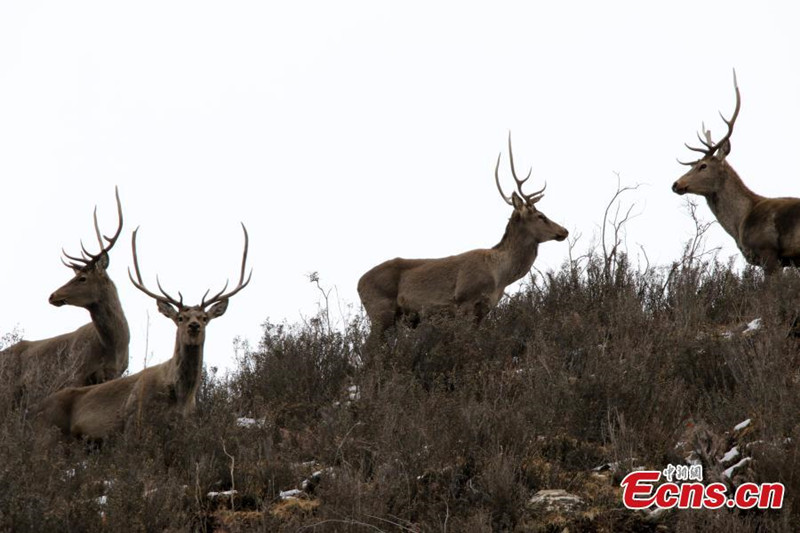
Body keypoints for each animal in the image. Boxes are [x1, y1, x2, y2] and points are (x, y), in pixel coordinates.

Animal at [0, 187, 128, 404]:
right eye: (75, 275)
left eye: (82, 278)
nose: (53, 295)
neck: (113, 347)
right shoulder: (74, 373)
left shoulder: (113, 374)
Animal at [33, 222, 250, 438]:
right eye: (180, 318)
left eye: (205, 318)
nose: (194, 326)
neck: (181, 397)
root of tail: (36, 408)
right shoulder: (134, 420)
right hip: (49, 430)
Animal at [356, 133, 568, 334]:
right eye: (541, 216)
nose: (564, 231)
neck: (500, 276)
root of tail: (359, 284)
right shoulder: (465, 299)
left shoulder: (484, 309)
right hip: (380, 310)